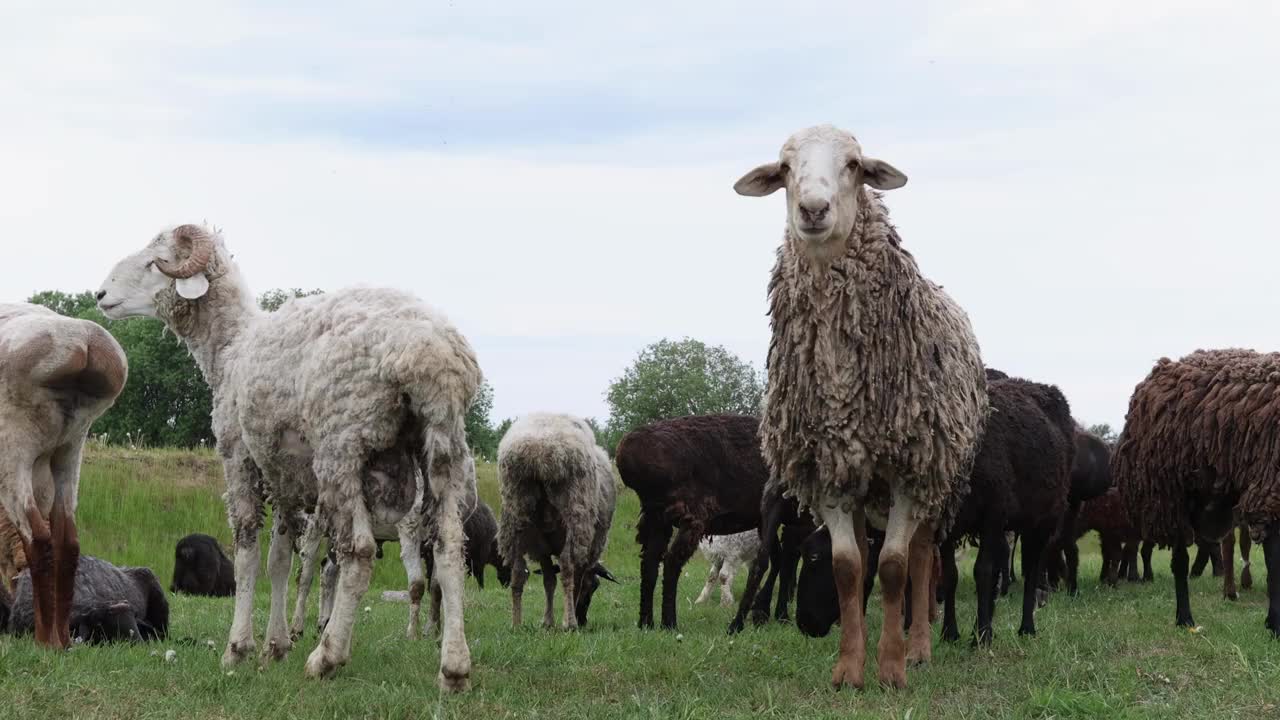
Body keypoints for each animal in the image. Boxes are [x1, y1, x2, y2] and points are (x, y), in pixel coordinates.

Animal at [0, 299, 127, 648]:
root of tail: (82, 342)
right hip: (72, 446)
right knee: (68, 542)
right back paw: (63, 639)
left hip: (14, 444)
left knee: (39, 539)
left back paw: (46, 640)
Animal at [94, 225, 481, 691]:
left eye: (156, 261)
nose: (99, 295)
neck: (230, 346)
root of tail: (430, 352)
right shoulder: (282, 475)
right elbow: (278, 560)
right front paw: (275, 646)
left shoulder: (240, 458)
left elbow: (247, 555)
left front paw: (238, 648)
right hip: (442, 446)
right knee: (448, 547)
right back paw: (454, 668)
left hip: (342, 446)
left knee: (359, 553)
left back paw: (326, 656)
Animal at [496, 412, 616, 625]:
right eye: (594, 587)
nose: (583, 619)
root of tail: (539, 453)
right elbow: (573, 578)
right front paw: (566, 617)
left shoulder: (542, 545)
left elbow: (549, 581)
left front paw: (547, 622)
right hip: (575, 514)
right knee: (567, 568)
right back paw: (570, 624)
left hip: (516, 513)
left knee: (517, 572)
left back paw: (516, 623)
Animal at [614, 415, 762, 627]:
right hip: (689, 514)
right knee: (671, 562)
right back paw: (669, 623)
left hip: (657, 516)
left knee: (649, 563)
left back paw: (646, 623)